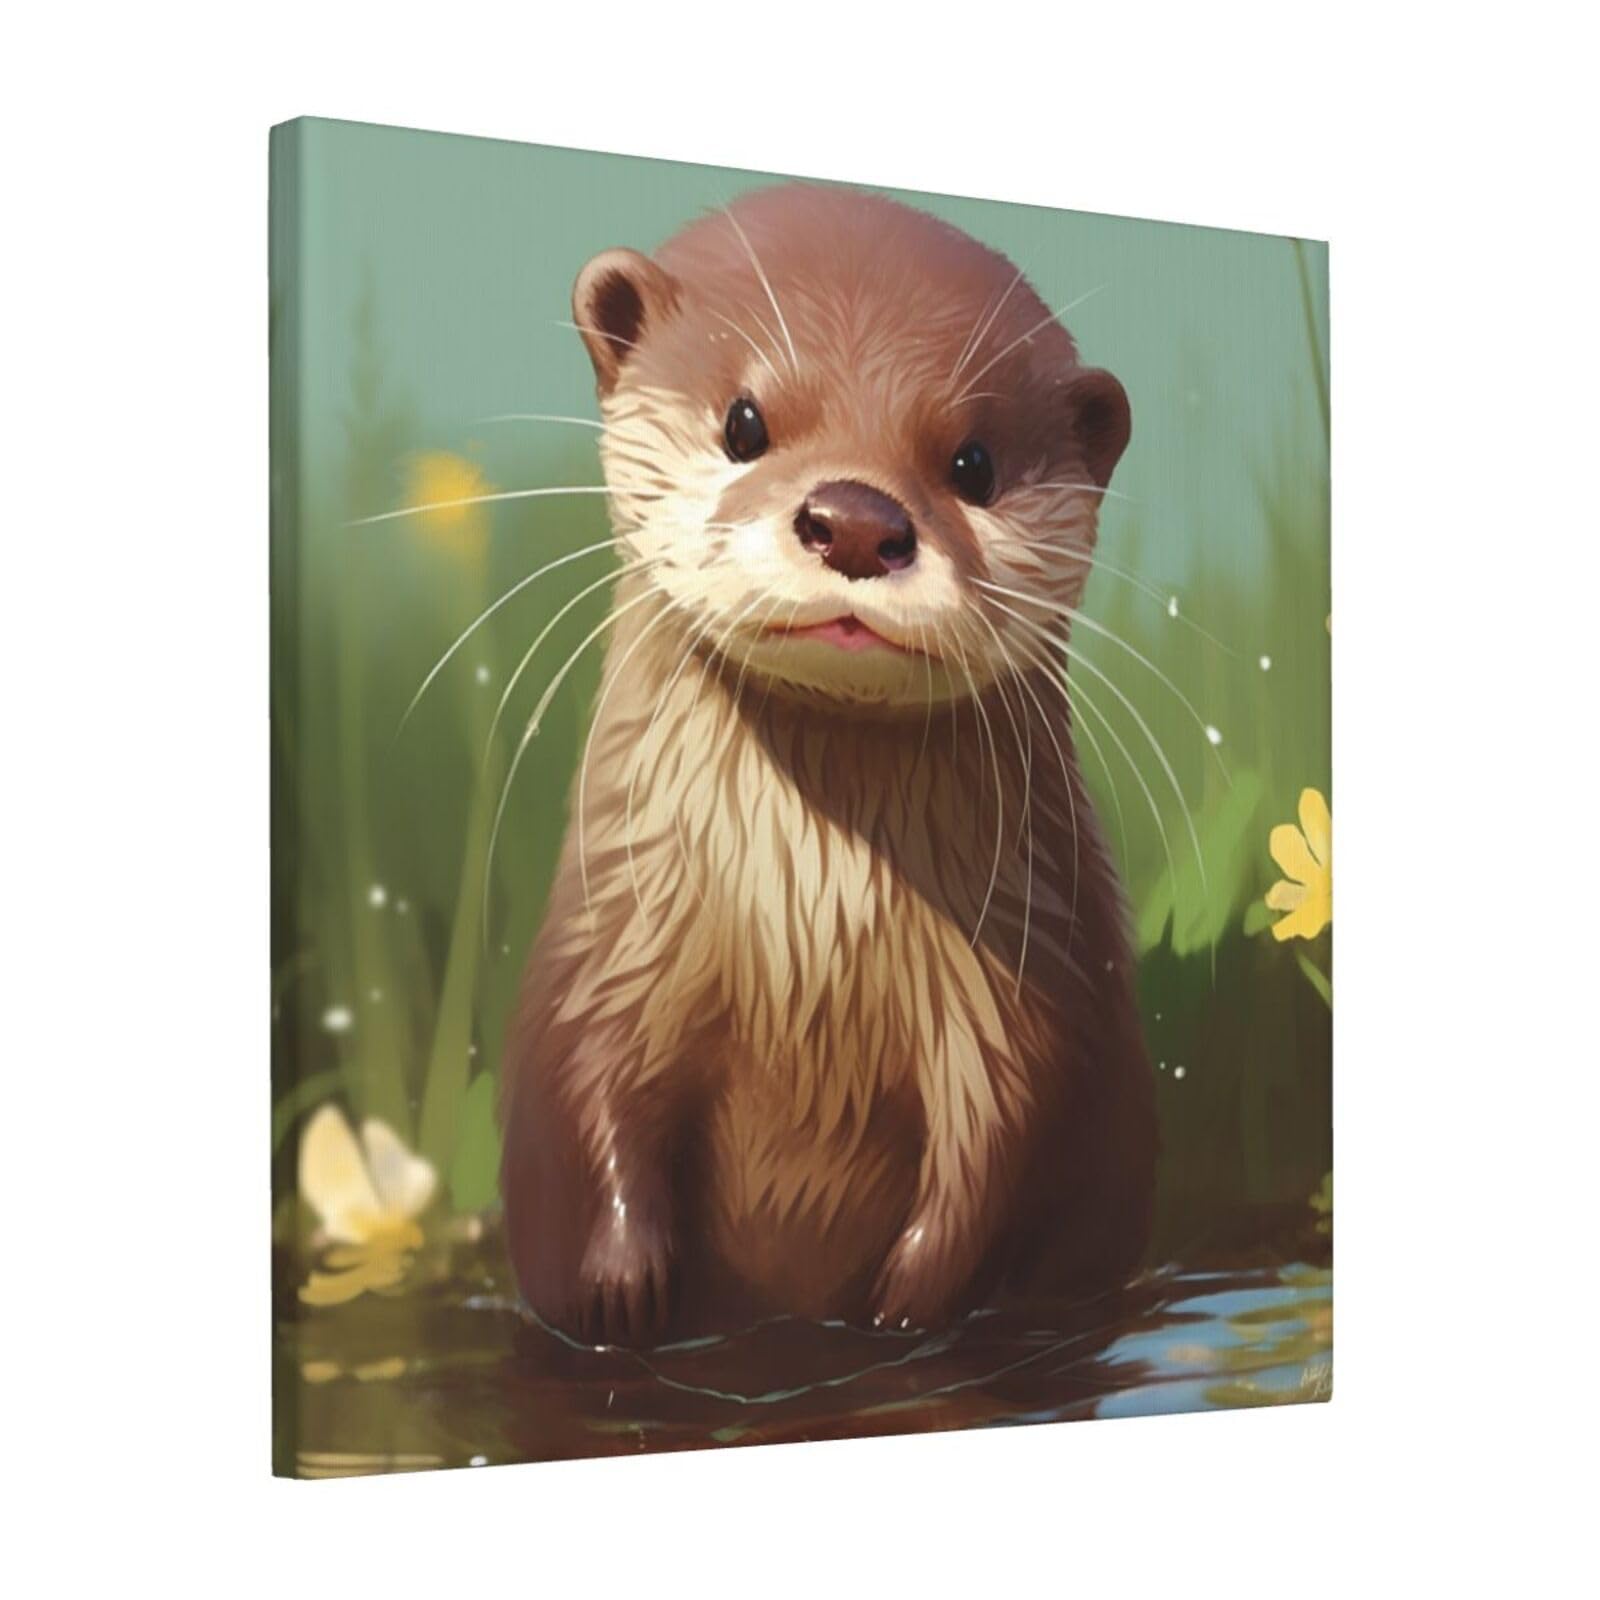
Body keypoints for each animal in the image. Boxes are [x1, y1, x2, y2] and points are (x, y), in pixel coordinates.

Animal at [501, 185, 1156, 1346]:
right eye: (743, 422)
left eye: (973, 464)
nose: (855, 520)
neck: (802, 938)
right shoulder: (611, 948)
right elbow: (595, 1093)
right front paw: (622, 1288)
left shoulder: (1022, 987)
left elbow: (1008, 1135)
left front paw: (909, 1305)